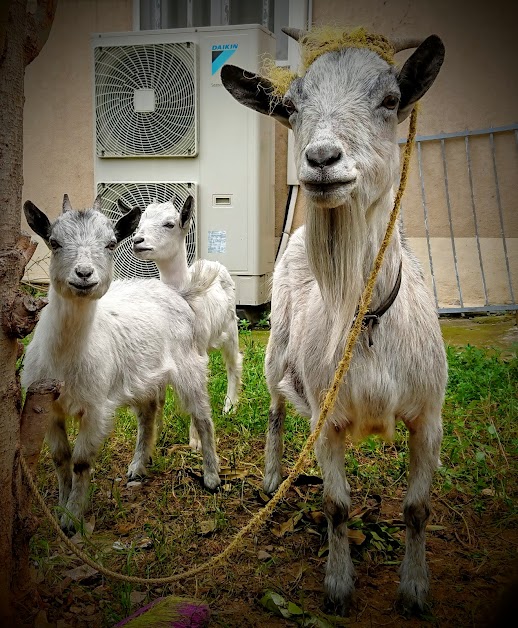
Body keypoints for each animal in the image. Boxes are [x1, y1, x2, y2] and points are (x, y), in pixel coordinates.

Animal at [126, 196, 246, 422]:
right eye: (138, 225)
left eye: (169, 224)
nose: (138, 241)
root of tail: (213, 262)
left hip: (231, 327)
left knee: (234, 362)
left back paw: (230, 406)